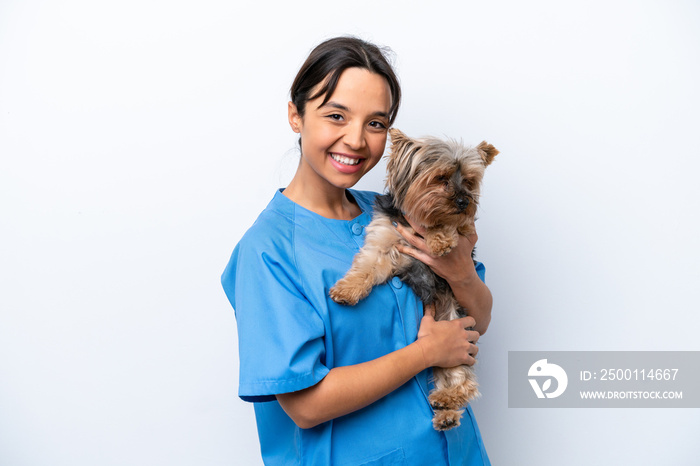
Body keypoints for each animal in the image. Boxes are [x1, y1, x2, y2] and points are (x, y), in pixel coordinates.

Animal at [330, 127, 498, 430]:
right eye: (441, 178)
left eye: (469, 182)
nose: (464, 201)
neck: (416, 222)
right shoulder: (383, 241)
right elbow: (366, 266)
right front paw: (347, 290)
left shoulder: (465, 229)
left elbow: (451, 224)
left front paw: (440, 239)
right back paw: (445, 413)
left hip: (458, 331)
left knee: (464, 382)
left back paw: (447, 404)